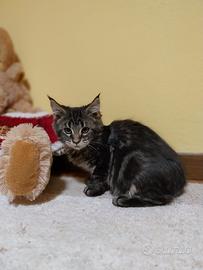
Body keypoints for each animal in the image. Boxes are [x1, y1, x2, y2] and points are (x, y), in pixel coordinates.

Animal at [48, 95, 186, 207]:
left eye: (85, 130)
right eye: (67, 130)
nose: (76, 141)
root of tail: (181, 181)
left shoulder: (104, 160)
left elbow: (99, 177)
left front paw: (93, 189)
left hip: (135, 162)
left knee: (163, 199)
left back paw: (122, 200)